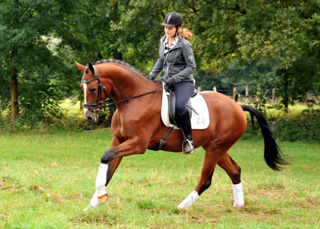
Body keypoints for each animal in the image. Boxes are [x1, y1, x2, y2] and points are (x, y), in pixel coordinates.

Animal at [75, 60, 288, 210]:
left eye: (92, 88)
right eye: (82, 88)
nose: (88, 117)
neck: (133, 100)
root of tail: (237, 105)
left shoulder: (138, 144)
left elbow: (106, 158)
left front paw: (100, 197)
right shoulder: (118, 140)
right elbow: (108, 170)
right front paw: (94, 203)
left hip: (215, 148)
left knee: (206, 180)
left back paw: (181, 207)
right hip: (216, 147)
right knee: (235, 171)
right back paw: (238, 206)